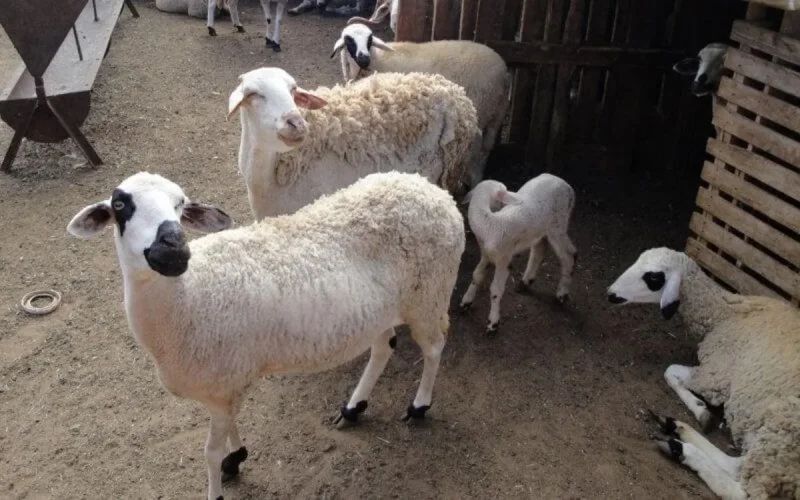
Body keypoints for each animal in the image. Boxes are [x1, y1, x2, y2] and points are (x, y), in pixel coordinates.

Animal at [66, 170, 466, 500]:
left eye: (180, 204)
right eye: (121, 205)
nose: (174, 250)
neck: (188, 297)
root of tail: (430, 190)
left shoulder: (222, 382)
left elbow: (210, 452)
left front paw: (219, 482)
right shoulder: (226, 384)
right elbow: (229, 429)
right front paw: (237, 457)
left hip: (429, 293)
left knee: (433, 347)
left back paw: (419, 406)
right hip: (382, 309)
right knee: (384, 347)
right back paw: (353, 408)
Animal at [330, 23, 510, 188]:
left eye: (369, 39)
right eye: (349, 40)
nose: (363, 58)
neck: (377, 58)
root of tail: (504, 70)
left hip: (481, 106)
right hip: (495, 115)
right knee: (485, 150)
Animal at [458, 175, 577, 334]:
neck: (490, 223)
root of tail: (565, 183)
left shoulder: (504, 258)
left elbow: (495, 290)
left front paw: (493, 323)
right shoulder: (486, 254)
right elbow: (477, 276)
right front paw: (466, 302)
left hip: (558, 225)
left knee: (569, 256)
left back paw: (562, 295)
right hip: (540, 229)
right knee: (540, 249)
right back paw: (525, 282)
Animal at [607, 247, 800, 500]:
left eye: (653, 277)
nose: (610, 294)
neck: (727, 314)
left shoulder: (715, 376)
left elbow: (670, 372)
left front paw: (701, 410)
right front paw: (701, 414)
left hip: (782, 433)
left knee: (744, 490)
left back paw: (681, 448)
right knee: (736, 465)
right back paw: (678, 428)